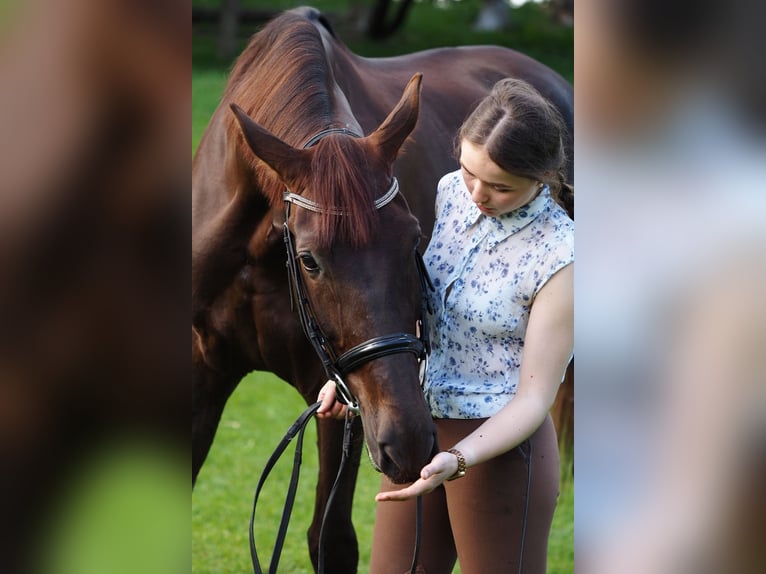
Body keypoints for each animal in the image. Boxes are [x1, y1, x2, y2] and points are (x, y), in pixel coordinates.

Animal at [194, 6, 568, 572]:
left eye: (414, 238)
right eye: (309, 259)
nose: (410, 443)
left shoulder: (343, 400)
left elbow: (331, 540)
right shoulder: (204, 372)